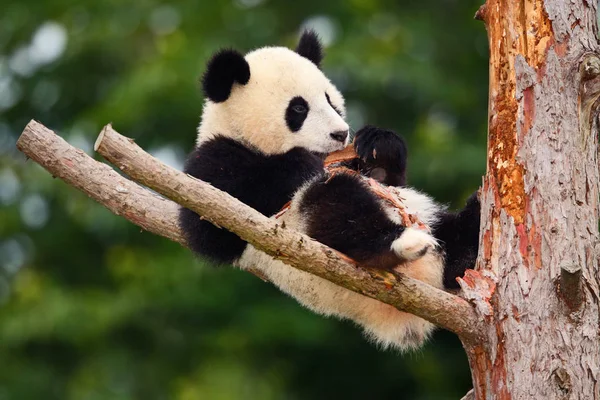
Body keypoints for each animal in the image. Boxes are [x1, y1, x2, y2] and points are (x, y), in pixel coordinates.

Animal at [178, 30, 478, 350]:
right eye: (299, 108)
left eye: (330, 100)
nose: (340, 133)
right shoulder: (214, 159)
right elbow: (210, 229)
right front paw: (299, 164)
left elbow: (387, 179)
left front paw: (380, 145)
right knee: (338, 206)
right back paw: (398, 244)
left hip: (427, 216)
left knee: (453, 233)